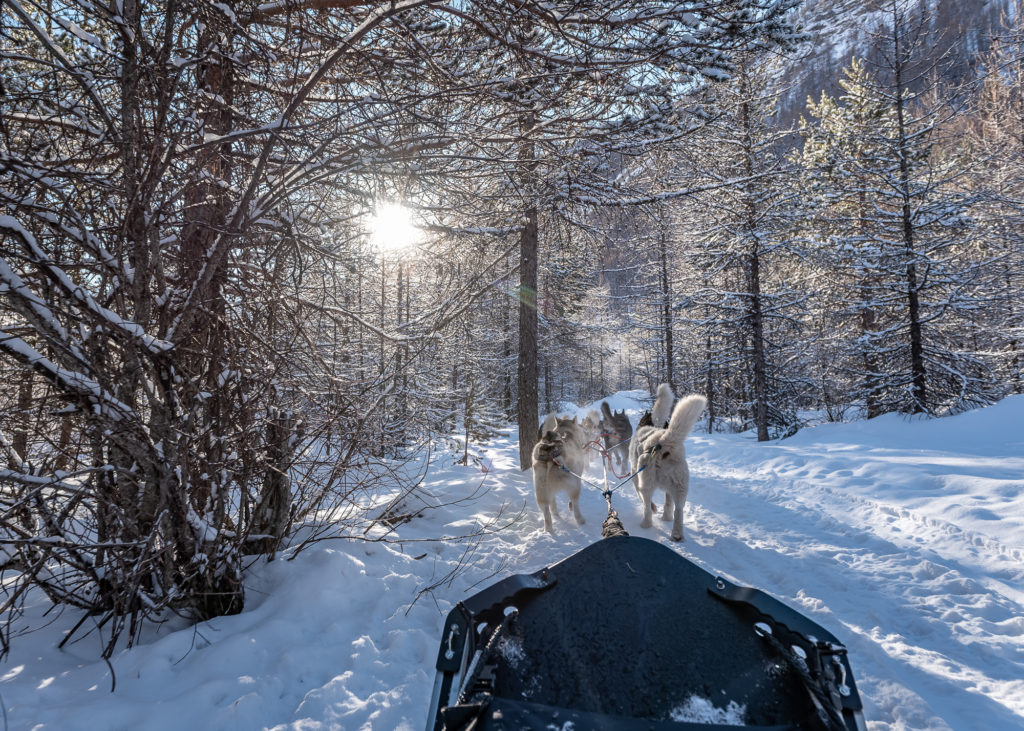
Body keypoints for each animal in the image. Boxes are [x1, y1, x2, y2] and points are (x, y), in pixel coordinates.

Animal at [630, 387, 704, 540]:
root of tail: (662, 442)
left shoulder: (635, 476)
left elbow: (642, 498)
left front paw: (656, 510)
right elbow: (668, 502)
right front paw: (666, 516)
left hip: (646, 483)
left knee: (646, 505)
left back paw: (646, 523)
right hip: (680, 487)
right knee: (678, 510)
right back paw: (676, 533)